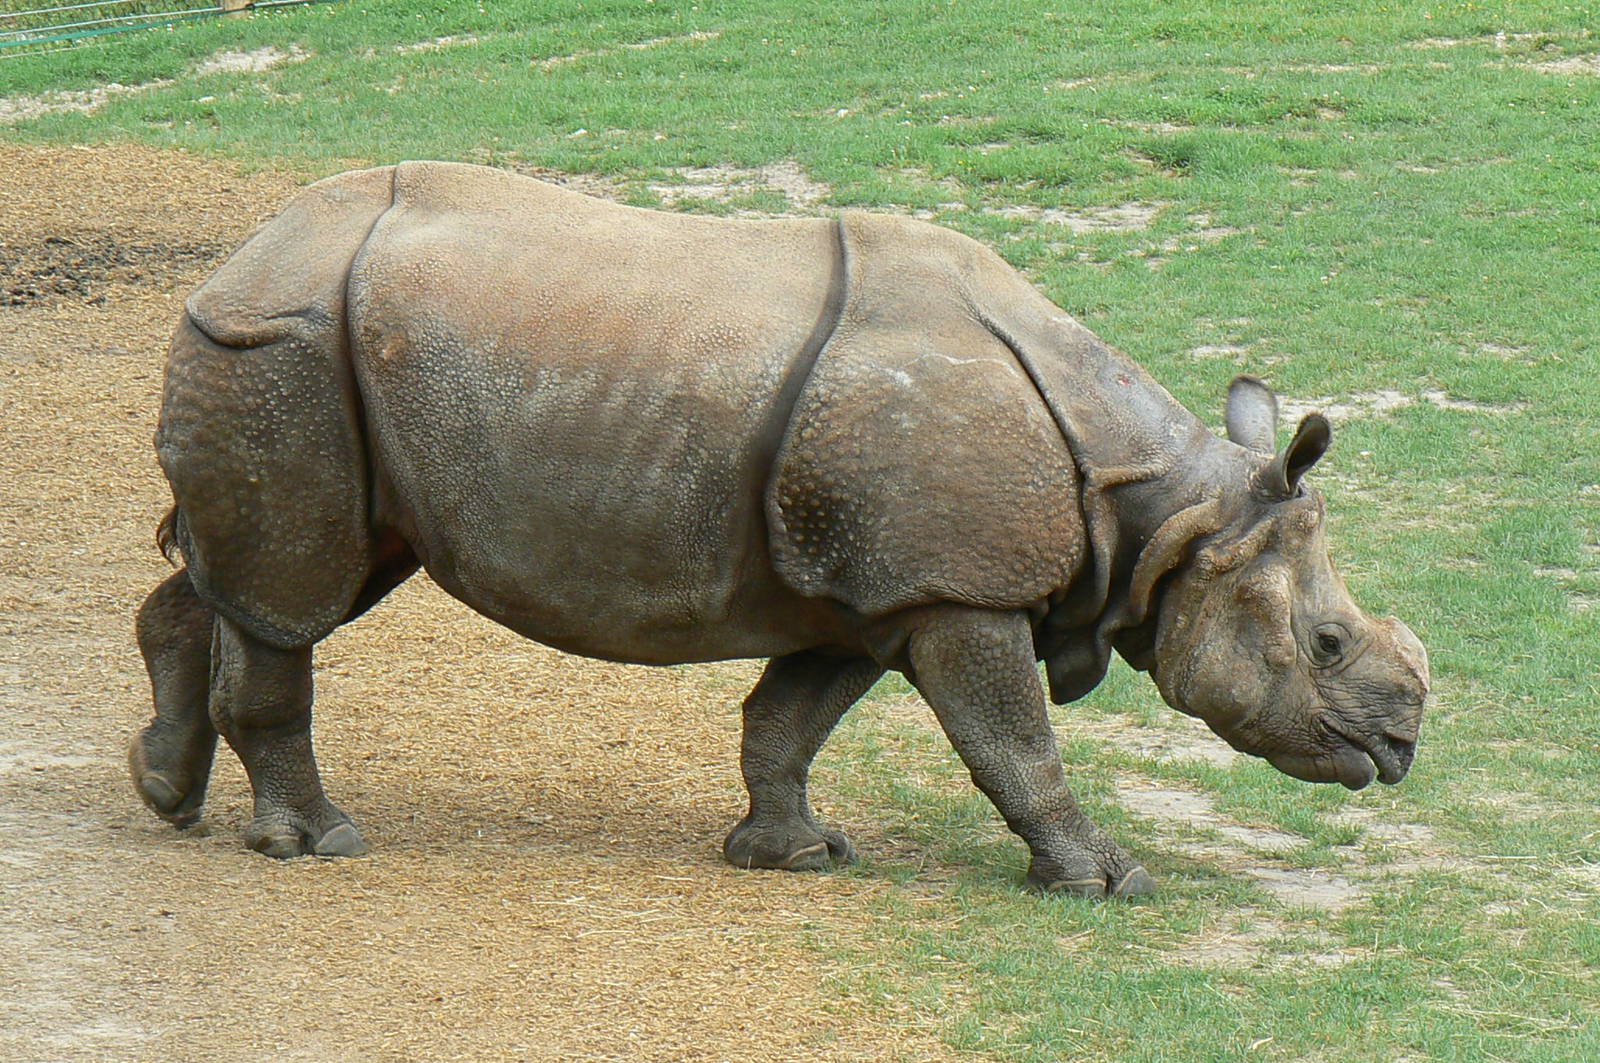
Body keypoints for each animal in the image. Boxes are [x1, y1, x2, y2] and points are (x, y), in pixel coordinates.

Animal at [129, 161, 1429, 897]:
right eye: (1322, 645)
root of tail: (243, 249)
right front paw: (1104, 881)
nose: (1401, 746)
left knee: (265, 576)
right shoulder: (955, 590)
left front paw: (792, 856)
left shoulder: (873, 592)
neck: (1165, 512)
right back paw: (320, 846)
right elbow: (1016, 743)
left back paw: (166, 794)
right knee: (292, 597)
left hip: (317, 354)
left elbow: (788, 719)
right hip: (286, 346)